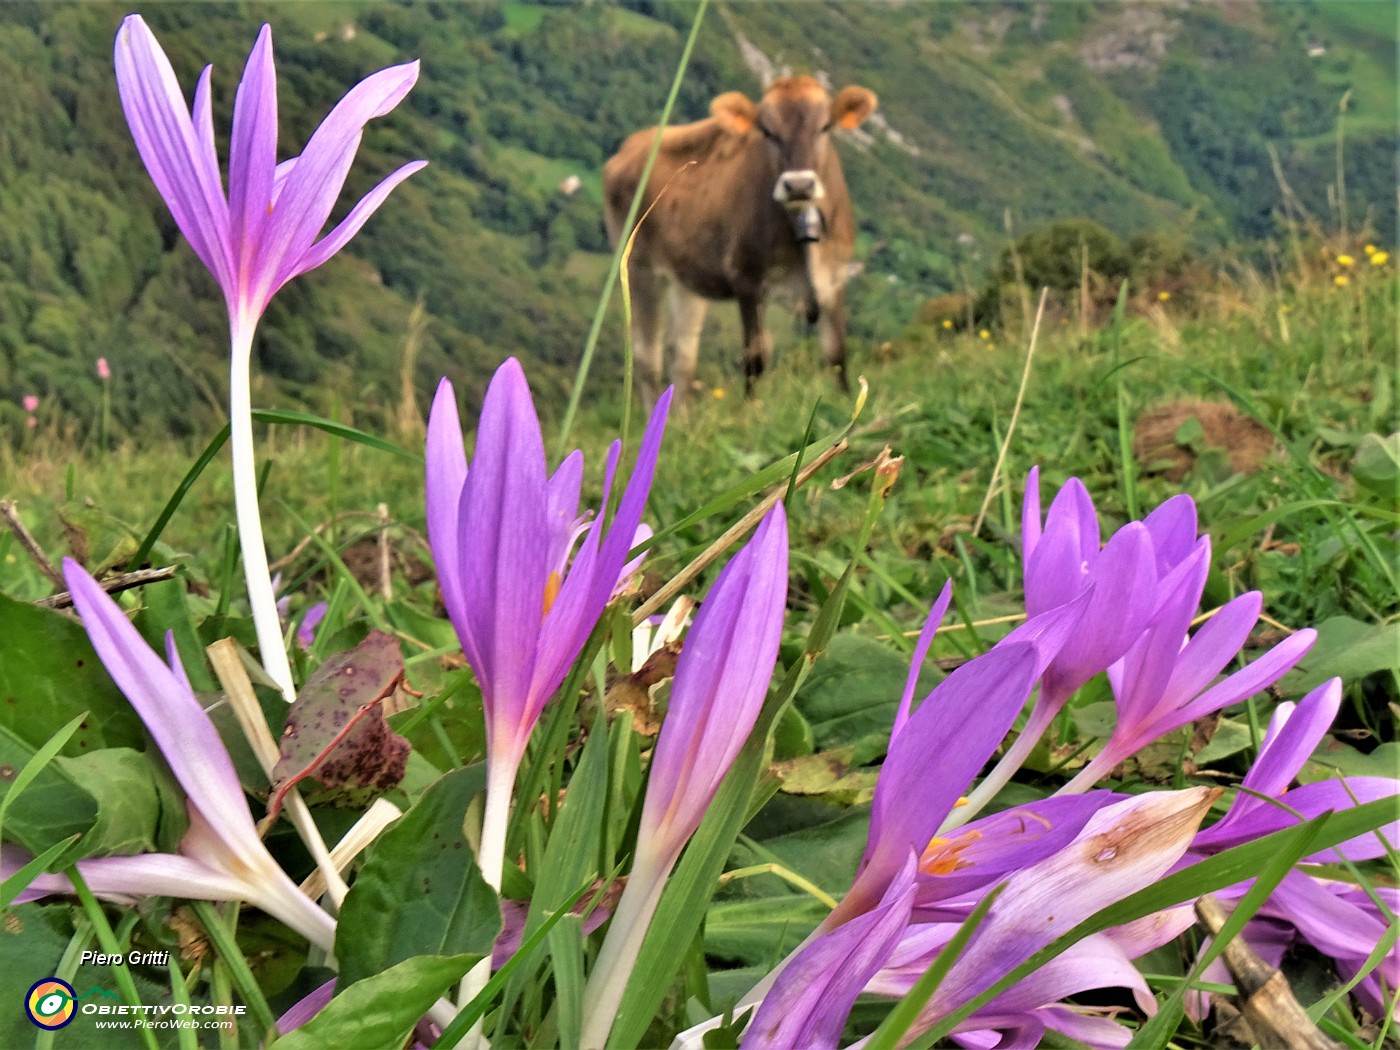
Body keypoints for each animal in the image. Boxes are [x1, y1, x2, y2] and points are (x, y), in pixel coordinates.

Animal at [602, 75, 873, 406]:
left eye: (824, 127)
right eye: (767, 131)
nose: (798, 184)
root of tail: (631, 144)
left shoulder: (834, 278)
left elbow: (837, 353)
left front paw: (847, 404)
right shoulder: (747, 279)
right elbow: (755, 356)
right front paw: (752, 409)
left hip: (686, 279)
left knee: (682, 354)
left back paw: (680, 416)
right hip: (637, 266)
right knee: (646, 356)